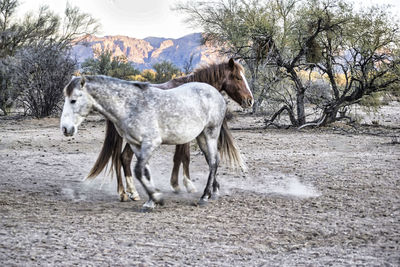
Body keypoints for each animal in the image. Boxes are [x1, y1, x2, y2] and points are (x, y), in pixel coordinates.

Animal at [86, 58, 253, 201]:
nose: (250, 100)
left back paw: (125, 192)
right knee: (124, 158)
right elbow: (184, 157)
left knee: (120, 159)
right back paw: (131, 192)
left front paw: (209, 187)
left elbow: (187, 157)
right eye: (238, 78)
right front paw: (184, 184)